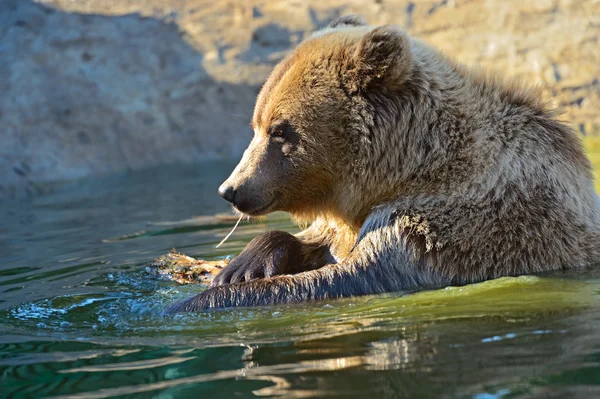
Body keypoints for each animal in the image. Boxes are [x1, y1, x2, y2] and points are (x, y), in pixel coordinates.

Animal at [164, 17, 600, 314]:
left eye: (280, 130)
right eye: (256, 124)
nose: (231, 189)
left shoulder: (444, 225)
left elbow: (347, 276)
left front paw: (198, 298)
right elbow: (316, 242)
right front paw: (241, 266)